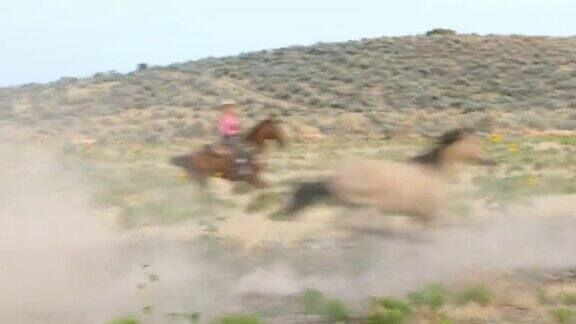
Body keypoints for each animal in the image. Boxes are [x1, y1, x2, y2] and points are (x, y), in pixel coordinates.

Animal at [280, 128, 496, 223]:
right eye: (472, 144)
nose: (490, 162)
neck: (435, 174)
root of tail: (333, 177)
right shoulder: (431, 213)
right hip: (360, 202)